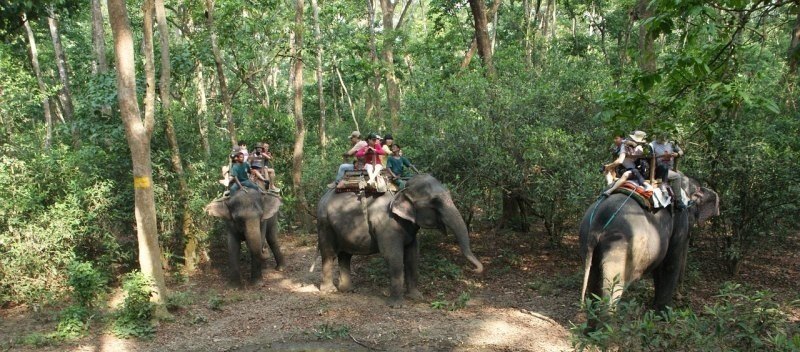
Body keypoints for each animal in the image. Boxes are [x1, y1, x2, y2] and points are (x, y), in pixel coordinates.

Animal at [316, 175, 484, 306]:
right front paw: (395, 305)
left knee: (345, 255)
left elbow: (413, 256)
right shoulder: (386, 222)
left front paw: (416, 297)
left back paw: (347, 290)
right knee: (329, 253)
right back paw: (329, 290)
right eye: (435, 201)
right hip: (324, 223)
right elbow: (392, 255)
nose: (474, 270)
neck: (402, 188)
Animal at [576, 173, 720, 314]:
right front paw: (664, 314)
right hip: (620, 244)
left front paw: (656, 308)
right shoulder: (680, 220)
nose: (680, 295)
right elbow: (670, 263)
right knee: (613, 285)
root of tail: (597, 223)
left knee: (593, 278)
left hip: (586, 237)